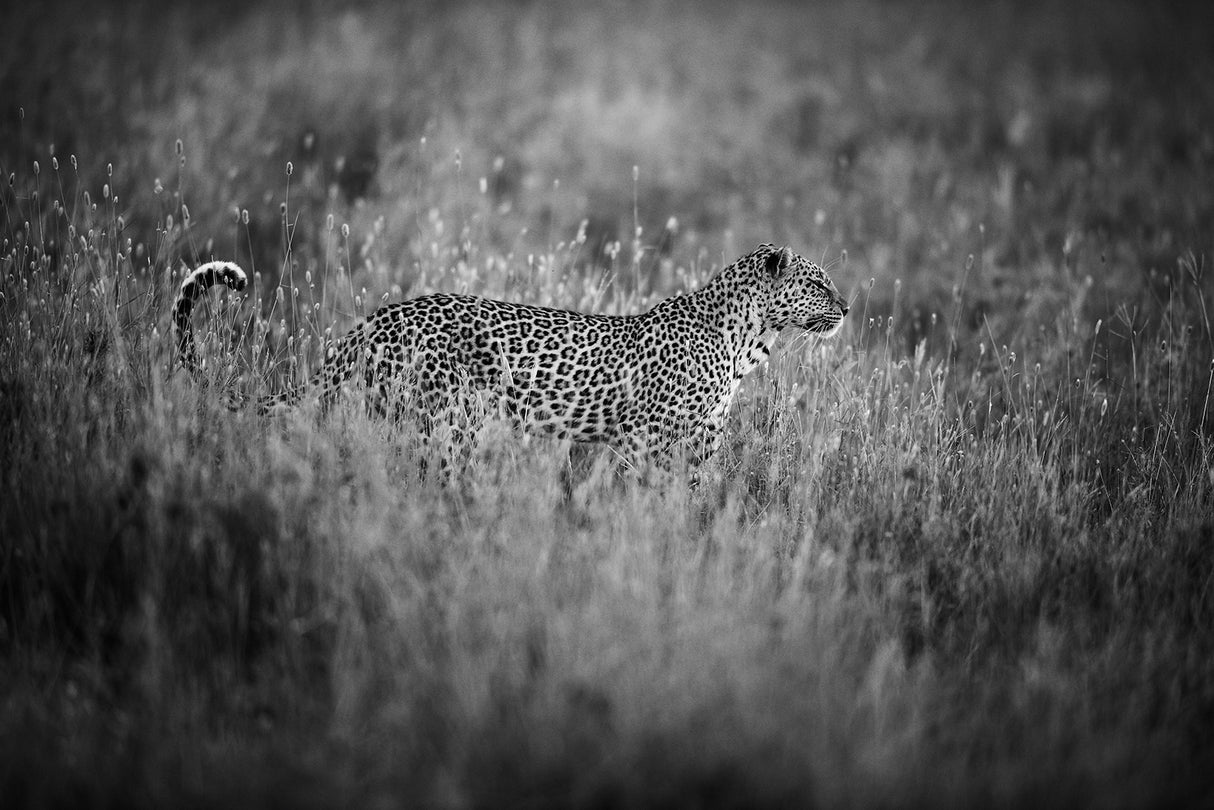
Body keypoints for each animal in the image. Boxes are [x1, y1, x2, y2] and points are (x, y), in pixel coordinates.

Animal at [173, 243, 848, 466]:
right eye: (817, 284)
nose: (845, 306)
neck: (747, 340)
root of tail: (375, 320)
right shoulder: (645, 438)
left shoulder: (703, 439)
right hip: (443, 423)